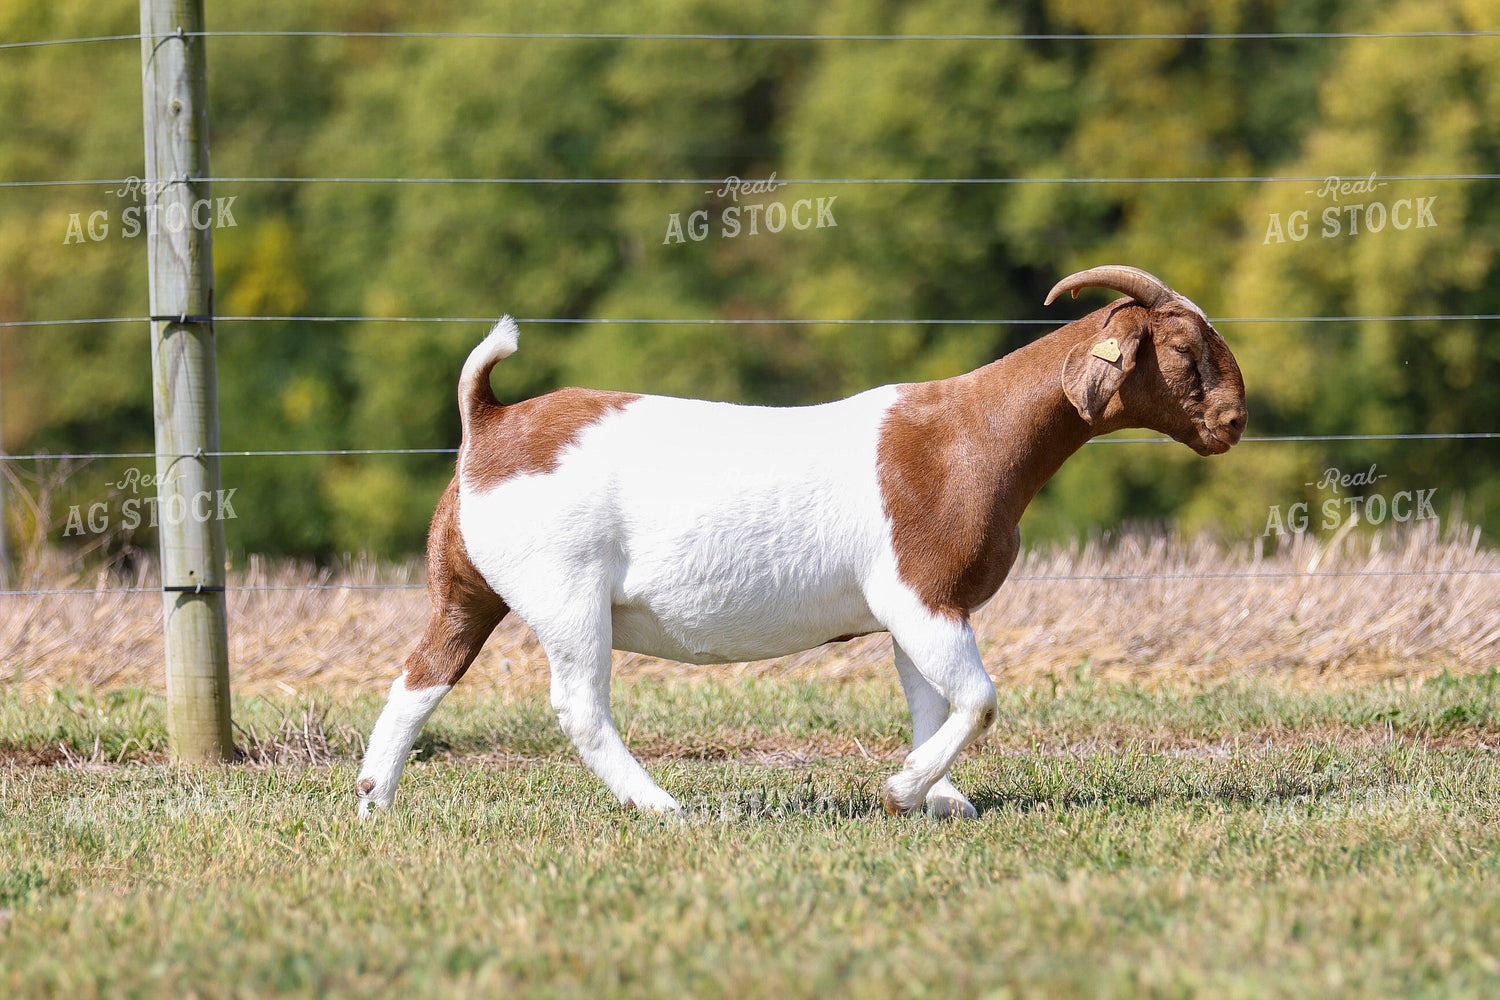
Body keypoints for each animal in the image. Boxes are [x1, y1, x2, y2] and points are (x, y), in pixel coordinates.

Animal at [355, 265, 1247, 818]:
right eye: (1181, 351)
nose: (1236, 421)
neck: (969, 431)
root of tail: (490, 423)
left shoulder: (924, 609)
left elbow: (931, 699)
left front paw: (943, 798)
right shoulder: (920, 593)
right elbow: (978, 699)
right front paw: (903, 790)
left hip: (466, 587)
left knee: (422, 676)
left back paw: (374, 802)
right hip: (566, 592)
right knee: (580, 706)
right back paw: (664, 807)